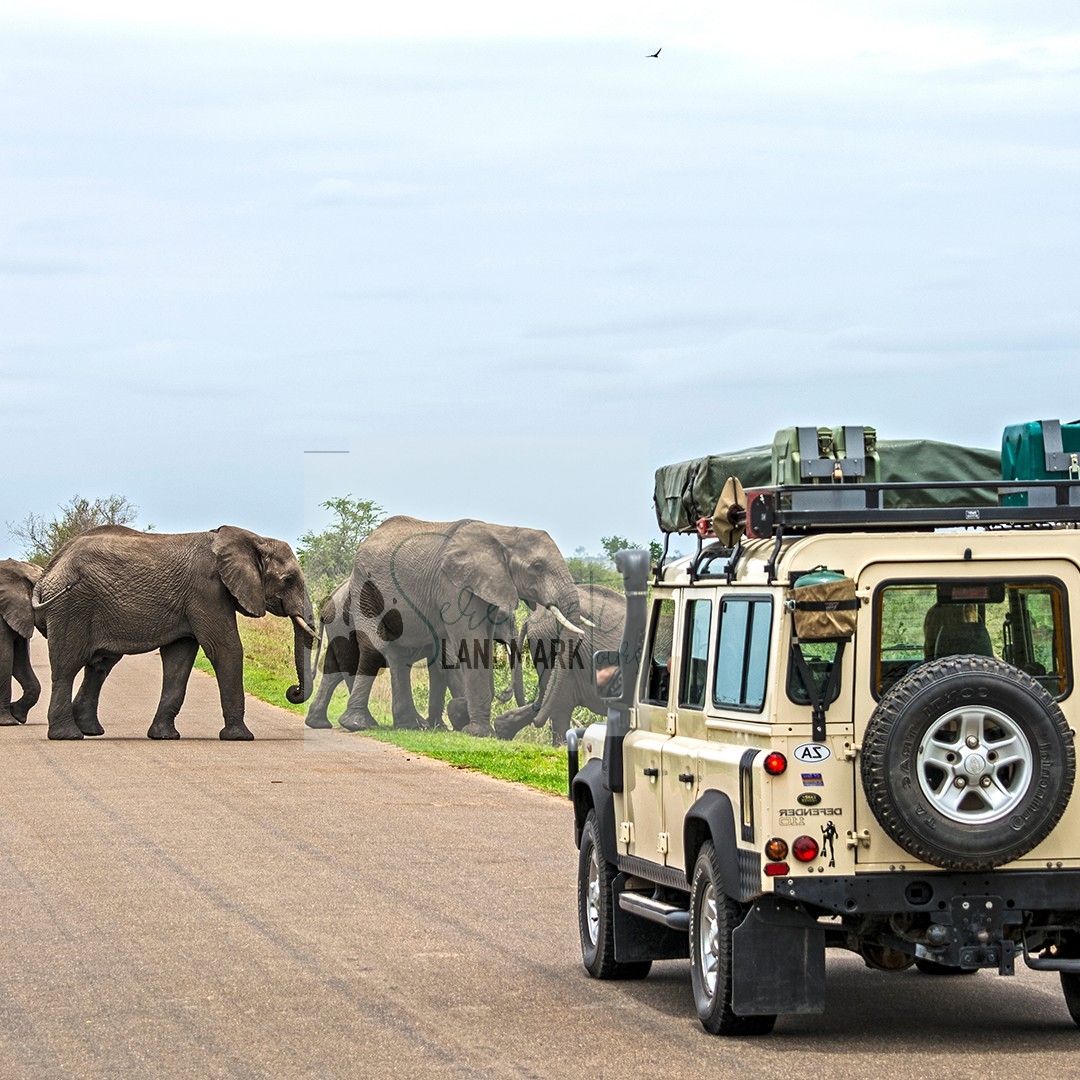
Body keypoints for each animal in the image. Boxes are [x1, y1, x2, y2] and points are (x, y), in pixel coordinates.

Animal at [33, 524, 313, 743]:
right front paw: (241, 737)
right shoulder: (207, 590)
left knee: (99, 666)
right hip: (71, 606)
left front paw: (164, 736)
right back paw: (67, 735)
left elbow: (180, 658)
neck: (252, 538)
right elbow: (226, 648)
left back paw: (90, 731)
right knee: (67, 667)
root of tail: (48, 573)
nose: (293, 691)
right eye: (288, 580)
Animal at [341, 516, 587, 738]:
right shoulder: (452, 586)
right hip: (366, 589)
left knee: (399, 656)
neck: (502, 532)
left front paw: (464, 716)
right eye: (537, 566)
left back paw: (410, 725)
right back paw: (356, 724)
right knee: (375, 646)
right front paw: (478, 731)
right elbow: (472, 644)